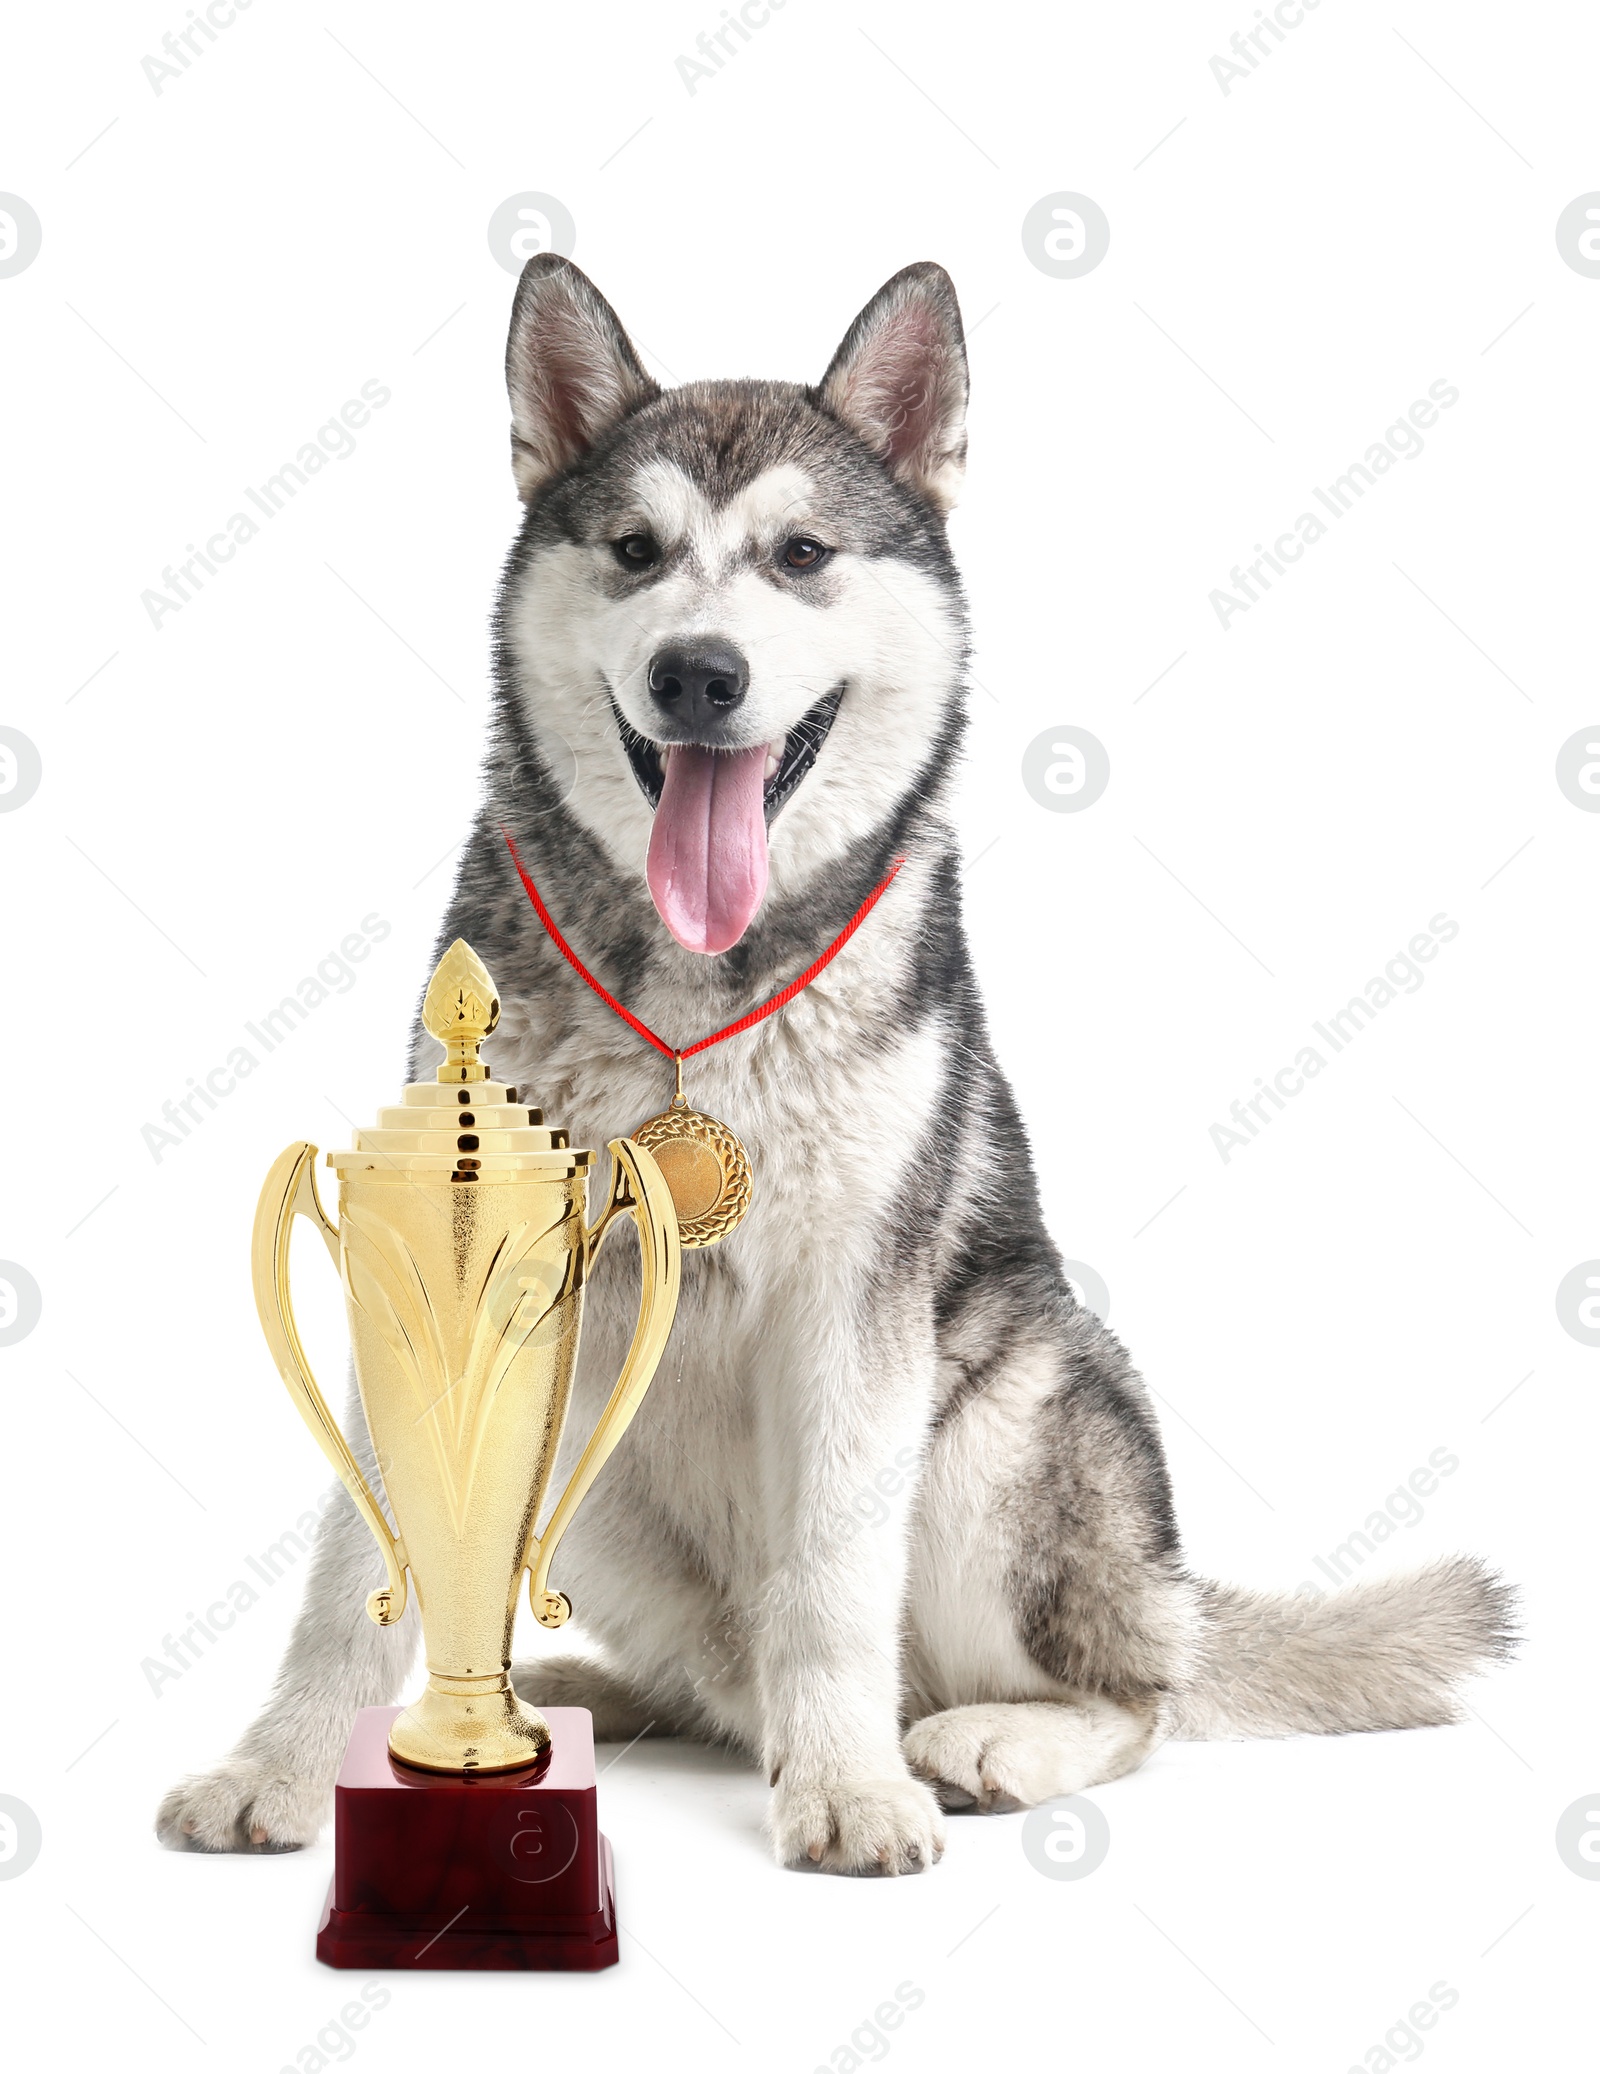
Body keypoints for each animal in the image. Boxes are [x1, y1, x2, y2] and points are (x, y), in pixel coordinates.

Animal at [159, 250, 1510, 1874]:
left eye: (801, 553)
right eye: (635, 550)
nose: (698, 673)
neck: (698, 992)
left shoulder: (855, 1312)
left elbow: (830, 1584)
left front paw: (854, 1790)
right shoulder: (446, 1258)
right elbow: (352, 1570)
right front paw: (286, 1763)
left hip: (1006, 1426)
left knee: (1133, 1695)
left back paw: (984, 1734)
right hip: (596, 1476)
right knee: (723, 1677)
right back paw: (598, 1692)